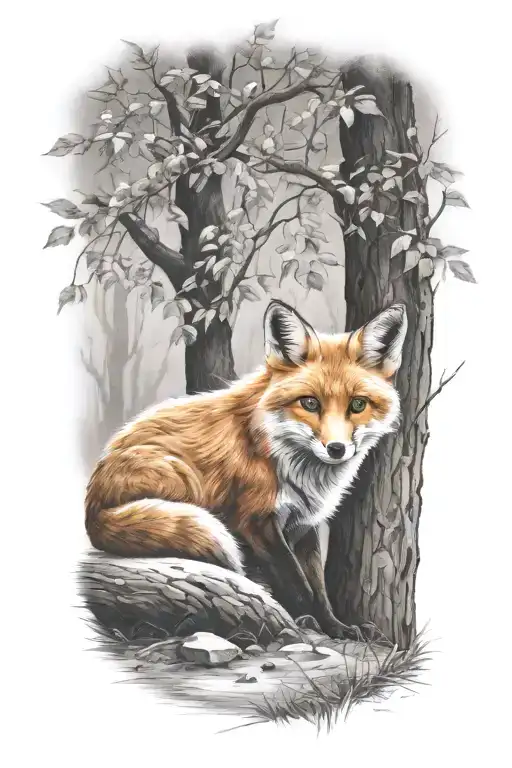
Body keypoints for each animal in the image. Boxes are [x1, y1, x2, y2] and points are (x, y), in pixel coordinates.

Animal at [85, 299, 407, 638]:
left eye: (358, 405)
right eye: (310, 403)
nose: (336, 449)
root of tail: (92, 511)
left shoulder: (304, 524)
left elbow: (317, 586)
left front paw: (335, 627)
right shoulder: (255, 521)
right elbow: (297, 584)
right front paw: (305, 623)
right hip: (182, 478)